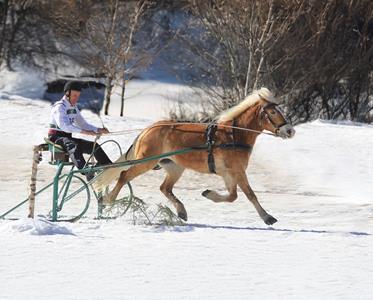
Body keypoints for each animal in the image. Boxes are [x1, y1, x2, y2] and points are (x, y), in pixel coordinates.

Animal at [93, 86, 296, 225]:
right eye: (272, 111)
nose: (290, 131)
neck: (233, 135)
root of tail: (148, 129)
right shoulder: (238, 171)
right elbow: (250, 194)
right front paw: (267, 217)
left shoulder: (229, 173)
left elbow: (233, 196)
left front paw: (209, 194)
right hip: (146, 162)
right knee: (124, 176)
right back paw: (108, 200)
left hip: (175, 167)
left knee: (165, 188)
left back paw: (181, 211)